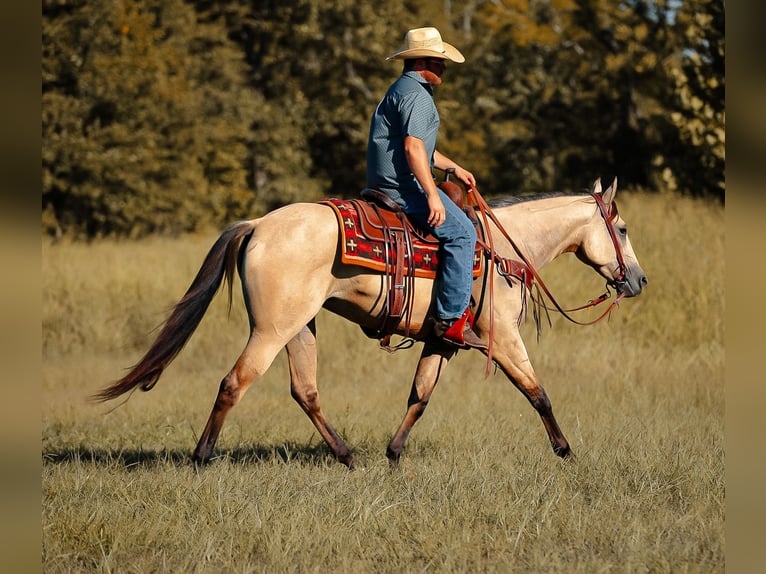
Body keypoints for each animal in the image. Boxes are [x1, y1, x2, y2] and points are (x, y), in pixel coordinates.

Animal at [95, 178, 647, 469]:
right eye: (620, 228)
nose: (638, 280)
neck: (503, 250)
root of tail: (258, 225)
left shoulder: (443, 341)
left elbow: (419, 396)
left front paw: (394, 452)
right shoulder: (503, 337)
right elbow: (538, 393)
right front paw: (565, 451)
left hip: (300, 327)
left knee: (305, 391)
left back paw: (346, 456)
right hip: (271, 331)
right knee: (235, 382)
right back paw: (202, 457)